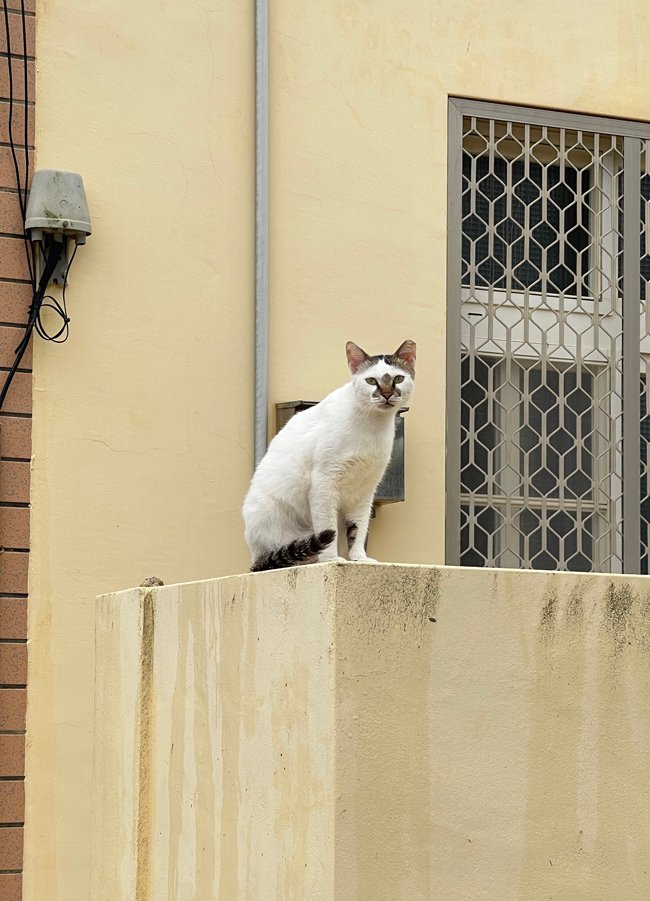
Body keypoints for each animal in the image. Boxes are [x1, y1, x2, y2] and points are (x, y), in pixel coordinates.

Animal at [243, 338, 416, 568]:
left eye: (398, 378)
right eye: (371, 381)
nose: (387, 394)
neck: (372, 425)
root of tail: (254, 557)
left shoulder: (365, 490)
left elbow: (359, 527)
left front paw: (359, 558)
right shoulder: (324, 481)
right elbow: (328, 526)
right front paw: (331, 559)